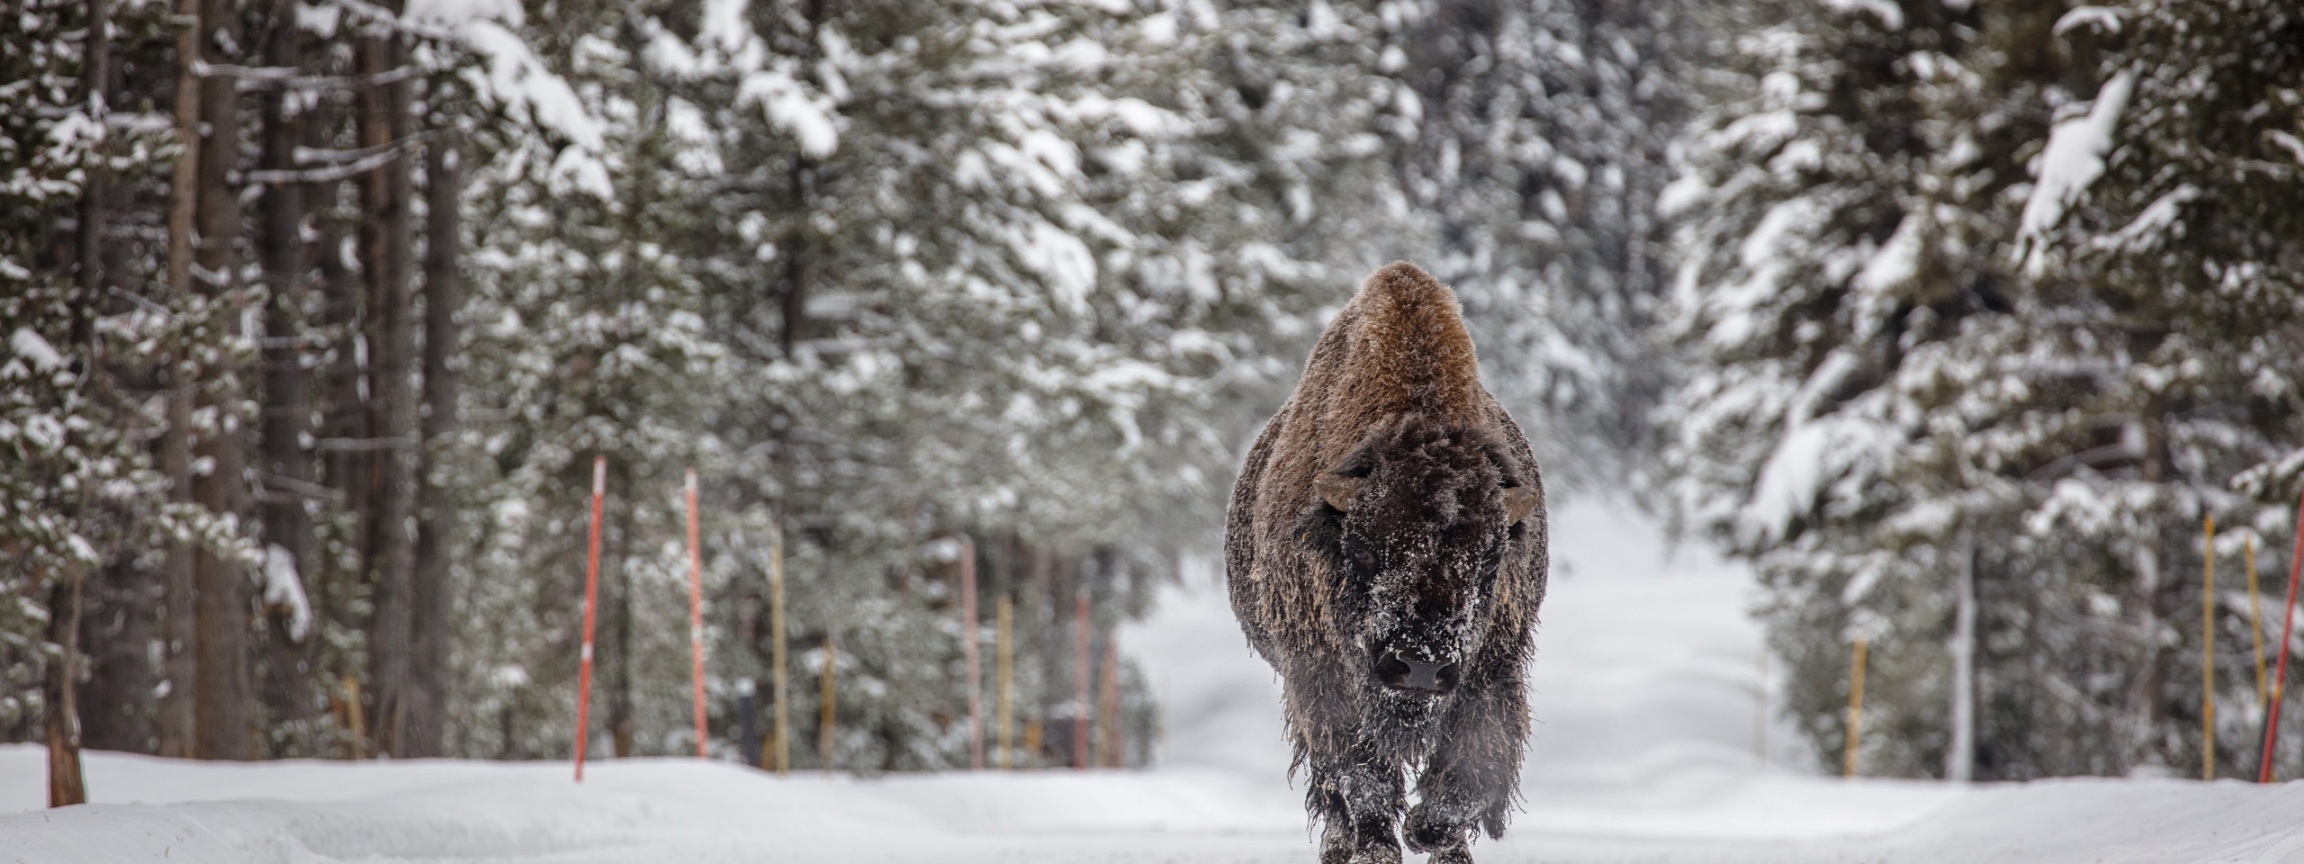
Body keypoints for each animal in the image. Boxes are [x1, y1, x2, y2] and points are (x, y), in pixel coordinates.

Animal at [1225, 262, 1548, 864]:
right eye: (1364, 549)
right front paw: (1380, 844)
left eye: (1490, 560)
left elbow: (1469, 775)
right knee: (1333, 788)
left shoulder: (1493, 670)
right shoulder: (1320, 675)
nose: (1419, 666)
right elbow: (1360, 775)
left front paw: (1427, 830)